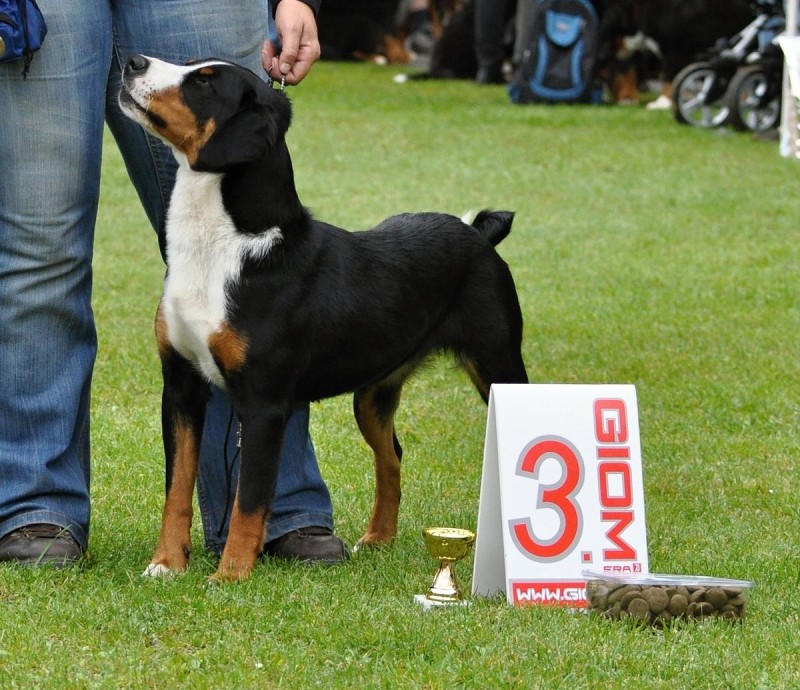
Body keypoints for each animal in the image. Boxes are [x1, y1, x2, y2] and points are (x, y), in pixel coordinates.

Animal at [119, 55, 528, 580]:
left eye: (205, 84)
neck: (224, 247)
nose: (133, 62)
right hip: (372, 395)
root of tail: (478, 234)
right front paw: (166, 564)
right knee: (392, 456)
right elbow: (177, 490)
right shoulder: (181, 386)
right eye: (190, 65)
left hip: (497, 362)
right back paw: (378, 538)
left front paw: (230, 574)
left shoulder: (264, 403)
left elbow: (249, 501)